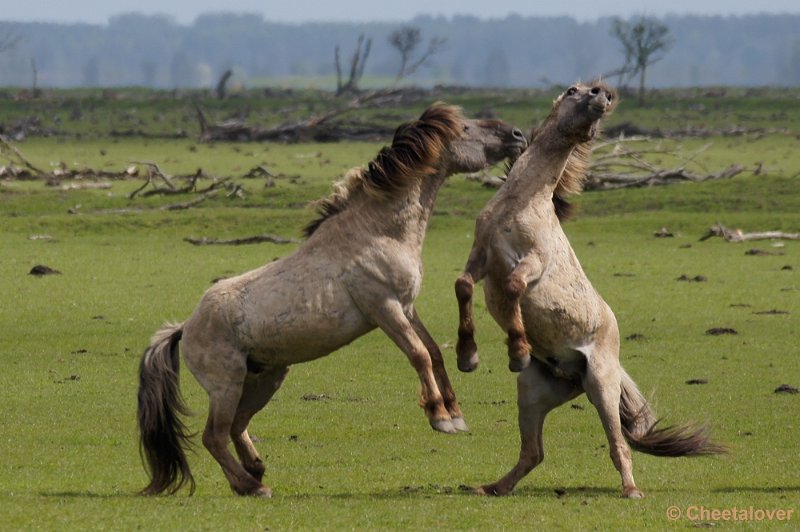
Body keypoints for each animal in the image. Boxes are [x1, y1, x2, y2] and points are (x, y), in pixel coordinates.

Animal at [138, 102, 528, 496]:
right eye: (465, 128)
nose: (518, 134)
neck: (378, 232)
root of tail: (185, 328)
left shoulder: (406, 307)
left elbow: (433, 352)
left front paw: (455, 413)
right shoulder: (383, 308)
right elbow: (418, 354)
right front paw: (439, 416)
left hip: (266, 378)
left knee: (235, 427)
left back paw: (255, 472)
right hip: (226, 386)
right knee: (214, 436)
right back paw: (251, 486)